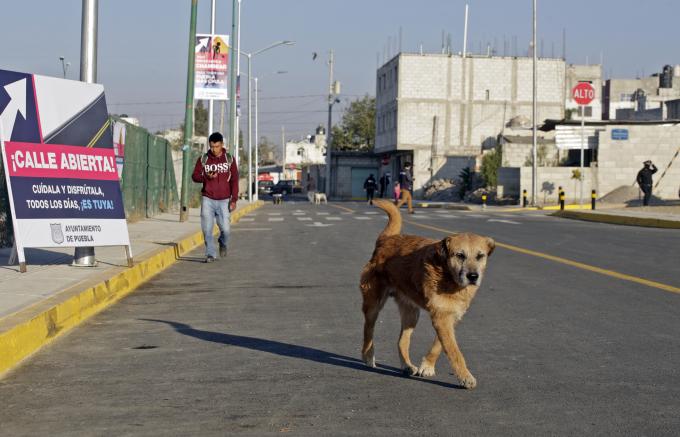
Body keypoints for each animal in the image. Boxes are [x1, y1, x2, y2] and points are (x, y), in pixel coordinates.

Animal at [358, 199, 496, 386]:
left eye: (480, 256)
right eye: (460, 255)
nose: (473, 276)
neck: (447, 275)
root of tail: (387, 239)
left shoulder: (450, 316)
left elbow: (439, 345)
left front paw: (427, 366)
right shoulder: (441, 317)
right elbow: (454, 351)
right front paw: (465, 376)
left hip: (411, 314)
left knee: (402, 341)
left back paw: (407, 366)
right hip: (373, 305)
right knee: (368, 330)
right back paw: (368, 356)